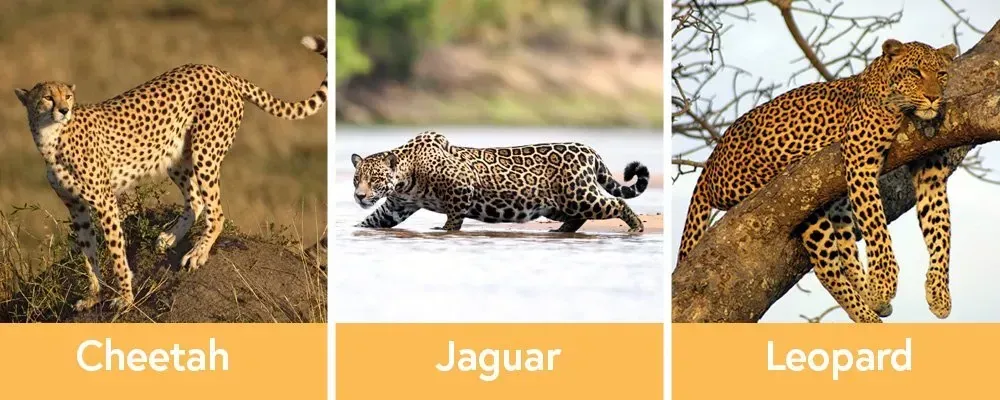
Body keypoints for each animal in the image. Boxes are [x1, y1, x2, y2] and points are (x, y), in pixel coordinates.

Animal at [14, 35, 328, 312]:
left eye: (67, 96)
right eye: (47, 98)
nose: (64, 110)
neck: (50, 138)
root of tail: (217, 70)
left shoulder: (104, 202)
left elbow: (116, 252)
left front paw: (125, 297)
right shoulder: (76, 207)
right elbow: (89, 255)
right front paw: (93, 296)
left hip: (205, 151)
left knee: (216, 211)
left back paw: (198, 253)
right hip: (175, 156)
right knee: (196, 201)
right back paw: (171, 238)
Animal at [350, 131, 650, 233]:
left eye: (374, 179)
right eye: (356, 179)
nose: (359, 196)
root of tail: (589, 150)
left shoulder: (461, 187)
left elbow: (454, 218)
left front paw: (444, 230)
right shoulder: (397, 207)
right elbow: (373, 220)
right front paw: (354, 229)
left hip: (578, 196)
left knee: (616, 202)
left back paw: (636, 227)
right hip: (558, 204)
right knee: (579, 216)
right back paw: (561, 230)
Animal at [676, 39, 959, 323]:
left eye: (941, 74)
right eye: (915, 72)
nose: (933, 98)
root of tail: (710, 163)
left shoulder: (930, 176)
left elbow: (940, 231)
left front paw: (939, 294)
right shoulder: (860, 161)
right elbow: (876, 227)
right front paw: (884, 282)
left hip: (834, 201)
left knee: (846, 250)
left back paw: (871, 300)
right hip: (798, 194)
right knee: (827, 267)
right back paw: (868, 312)